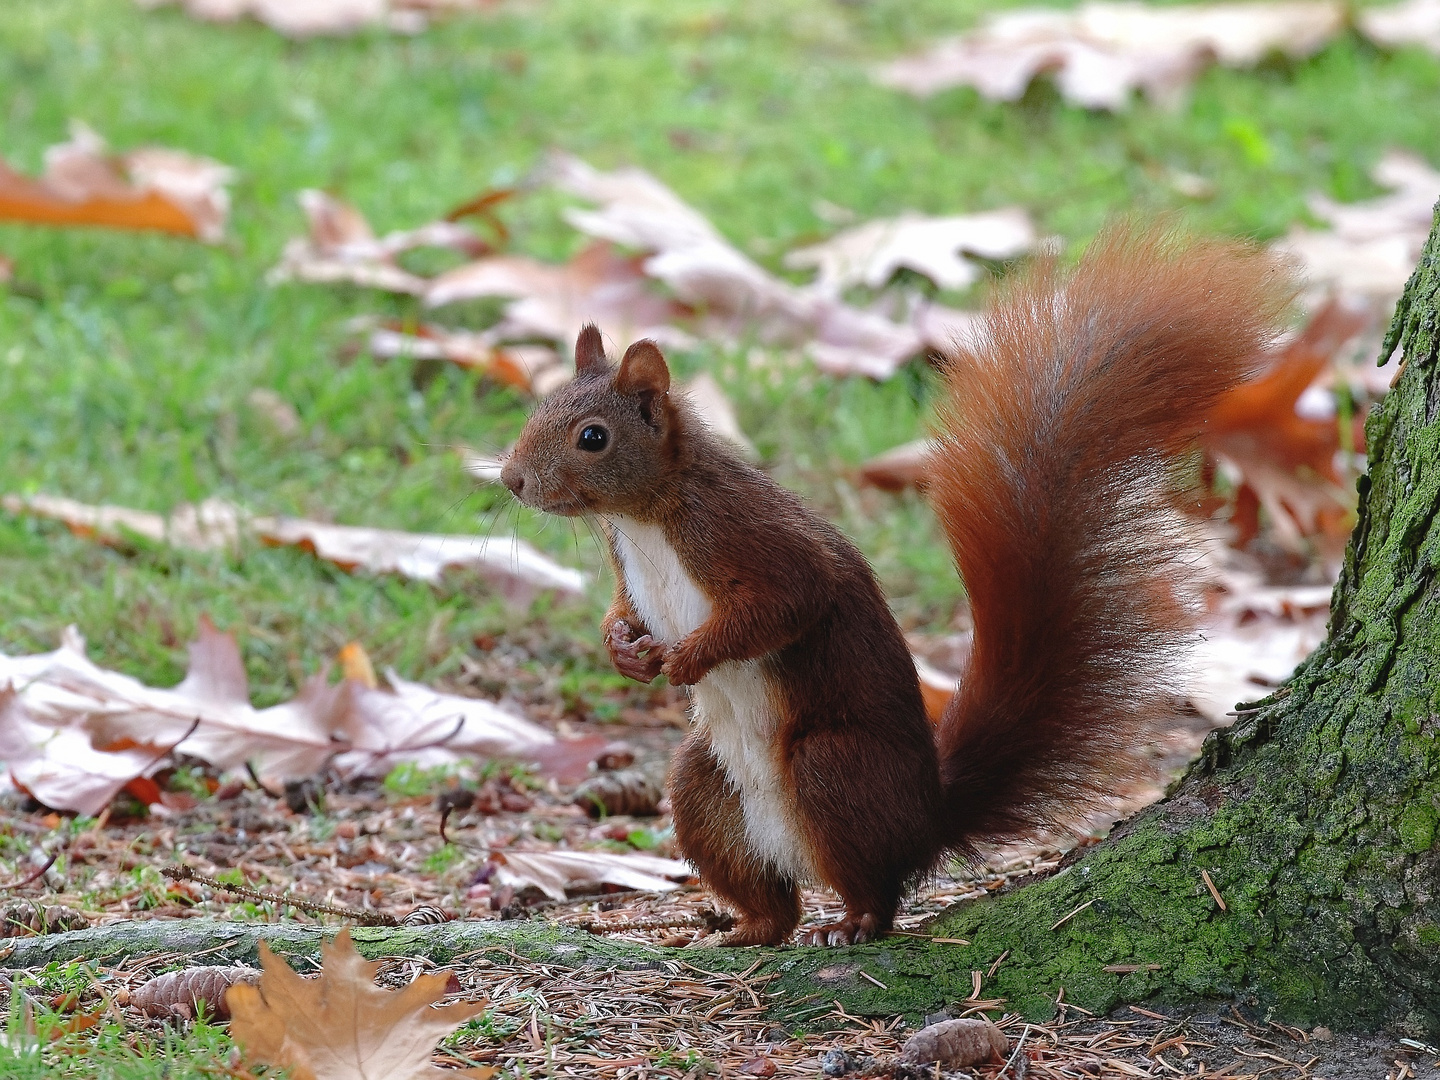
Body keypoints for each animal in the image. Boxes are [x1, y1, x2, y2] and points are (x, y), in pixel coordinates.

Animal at [498, 226, 1296, 944]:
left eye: (592, 437)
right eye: (535, 409)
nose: (509, 480)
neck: (644, 518)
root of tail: (927, 819)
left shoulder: (748, 537)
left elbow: (785, 603)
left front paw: (687, 657)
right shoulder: (627, 564)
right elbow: (625, 609)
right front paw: (622, 649)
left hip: (833, 767)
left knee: (877, 890)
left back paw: (851, 923)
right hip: (704, 787)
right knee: (774, 898)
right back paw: (745, 929)